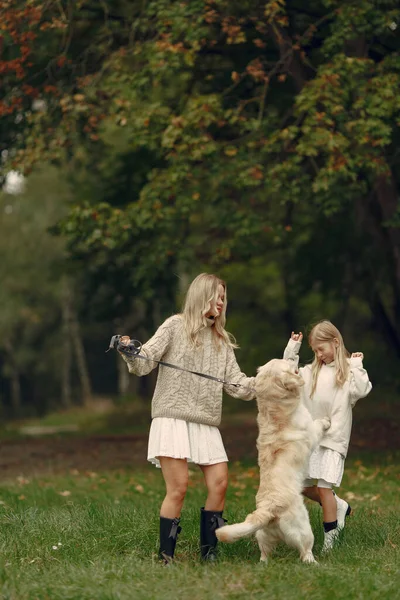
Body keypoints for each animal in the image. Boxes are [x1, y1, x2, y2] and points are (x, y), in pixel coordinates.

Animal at [217, 358, 330, 564]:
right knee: (306, 551)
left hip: (263, 536)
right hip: (304, 529)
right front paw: (326, 421)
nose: (293, 358)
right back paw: (315, 563)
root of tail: (268, 510)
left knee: (264, 554)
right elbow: (318, 425)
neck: (274, 410)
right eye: (287, 363)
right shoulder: (311, 432)